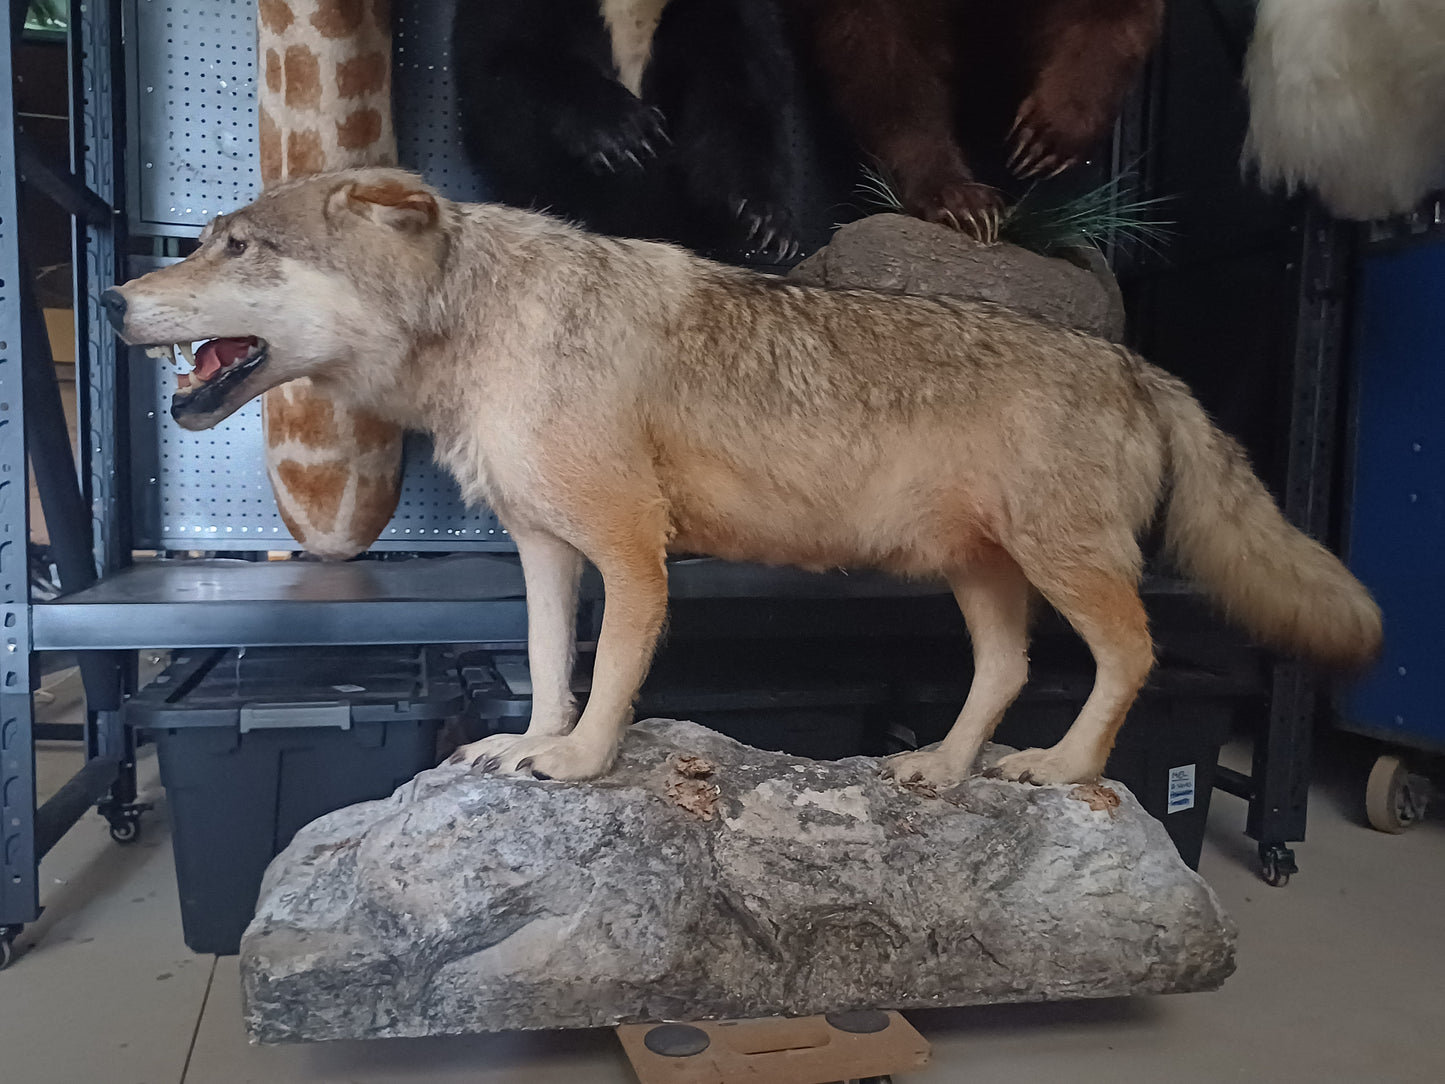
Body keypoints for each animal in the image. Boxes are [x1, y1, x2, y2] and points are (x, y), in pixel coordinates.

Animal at [102, 168, 1381, 786]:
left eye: (234, 244)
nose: (110, 299)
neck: (483, 327)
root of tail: (1135, 363)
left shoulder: (631, 548)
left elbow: (613, 679)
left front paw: (579, 763)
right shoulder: (544, 551)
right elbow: (546, 665)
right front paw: (530, 744)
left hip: (1064, 570)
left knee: (1128, 657)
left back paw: (1058, 768)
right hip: (981, 578)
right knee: (1006, 669)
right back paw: (940, 767)